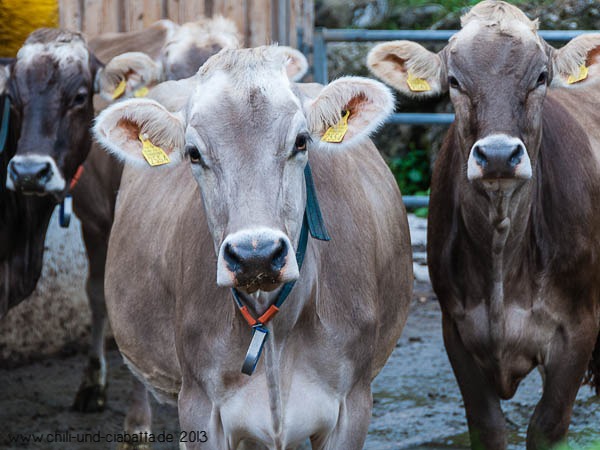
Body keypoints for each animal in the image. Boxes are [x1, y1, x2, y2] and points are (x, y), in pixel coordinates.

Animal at [92, 44, 412, 448]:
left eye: (301, 141)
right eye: (193, 153)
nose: (255, 255)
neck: (274, 333)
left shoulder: (353, 404)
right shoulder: (199, 406)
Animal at [366, 1, 600, 448]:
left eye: (540, 76)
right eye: (455, 81)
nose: (497, 155)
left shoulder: (578, 330)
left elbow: (546, 424)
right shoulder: (457, 331)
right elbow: (487, 425)